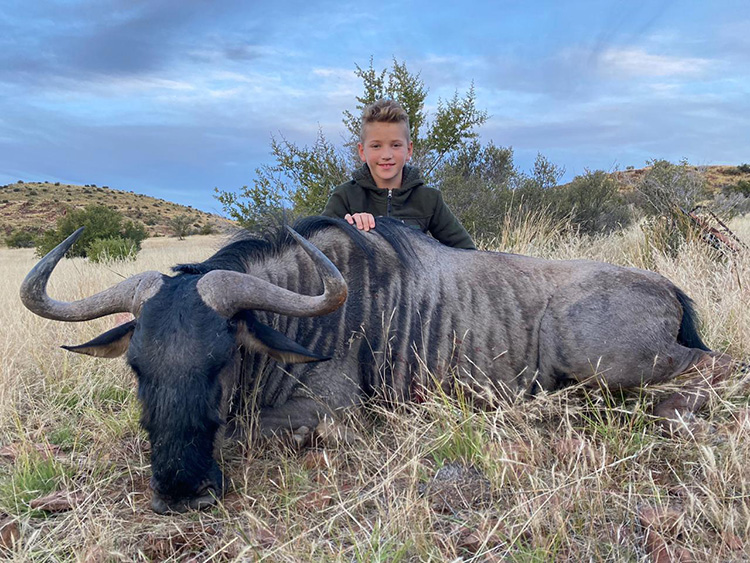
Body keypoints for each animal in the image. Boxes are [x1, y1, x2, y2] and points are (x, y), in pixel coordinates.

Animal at [21, 217, 736, 513]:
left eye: (223, 359)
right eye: (138, 367)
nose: (178, 491)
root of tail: (669, 290)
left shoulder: (333, 413)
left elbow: (247, 430)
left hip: (601, 353)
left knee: (713, 372)